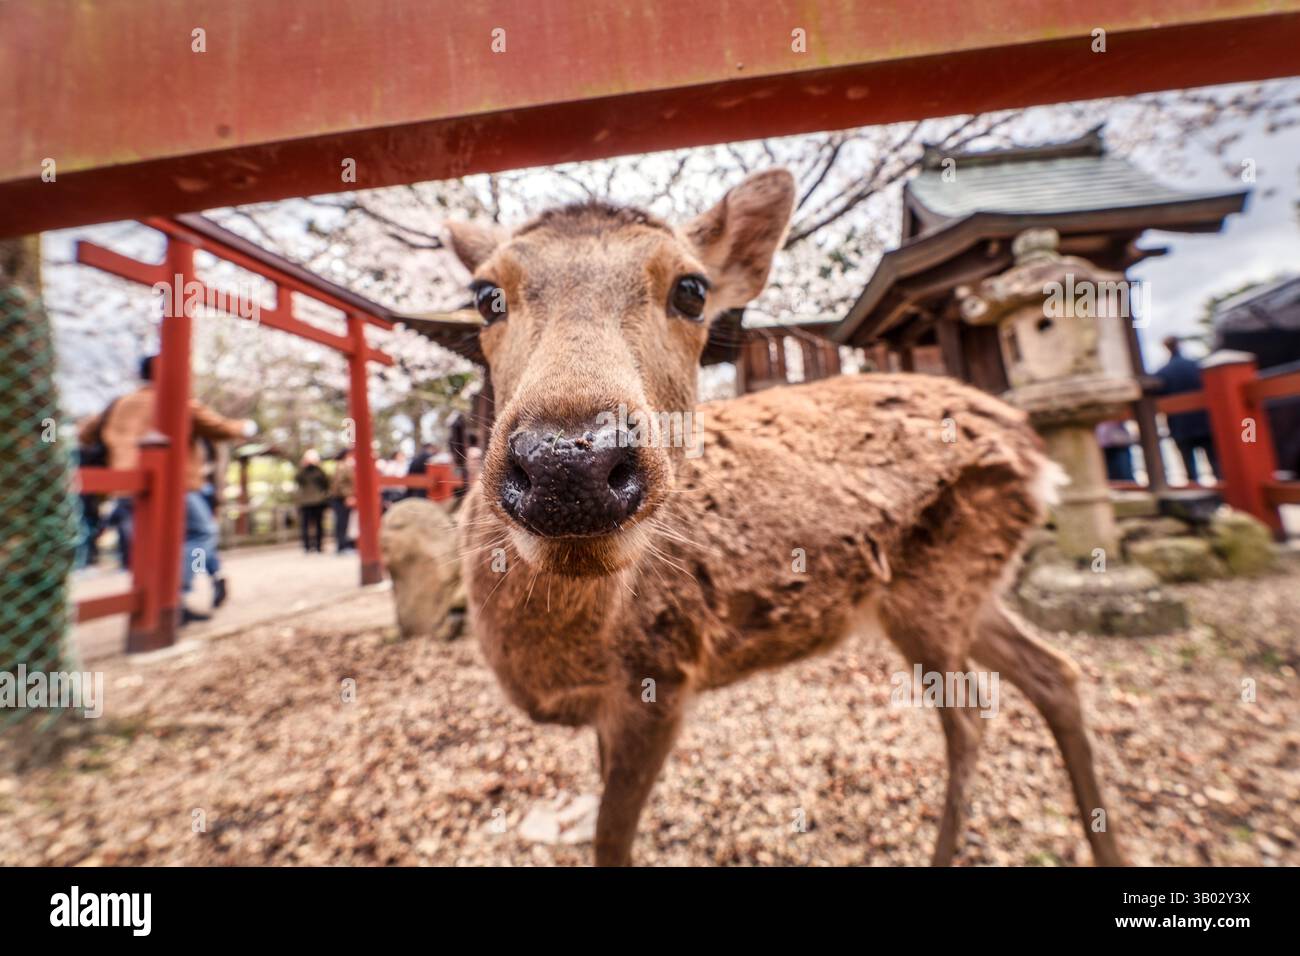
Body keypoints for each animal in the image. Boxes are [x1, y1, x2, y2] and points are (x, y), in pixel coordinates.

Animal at [445, 169, 1128, 867]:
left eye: (692, 290)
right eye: (486, 296)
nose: (570, 463)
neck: (565, 656)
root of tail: (1033, 448)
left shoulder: (661, 677)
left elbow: (611, 842)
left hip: (933, 592)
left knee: (971, 720)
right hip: (967, 586)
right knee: (1055, 674)